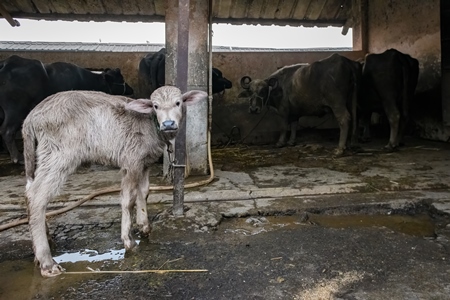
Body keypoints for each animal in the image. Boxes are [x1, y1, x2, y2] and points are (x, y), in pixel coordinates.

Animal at [0, 55, 134, 163]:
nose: (131, 89)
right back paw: (17, 158)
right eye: (121, 79)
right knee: (7, 131)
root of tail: (6, 64)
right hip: (16, 110)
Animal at [22, 86, 208, 276]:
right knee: (37, 196)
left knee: (29, 192)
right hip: (59, 154)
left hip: (44, 155)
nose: (168, 124)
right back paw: (47, 262)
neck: (151, 124)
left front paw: (144, 227)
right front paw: (128, 240)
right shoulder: (131, 162)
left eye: (178, 102)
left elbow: (144, 193)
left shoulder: (144, 164)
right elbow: (128, 200)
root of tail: (31, 117)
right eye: (155, 106)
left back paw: (42, 247)